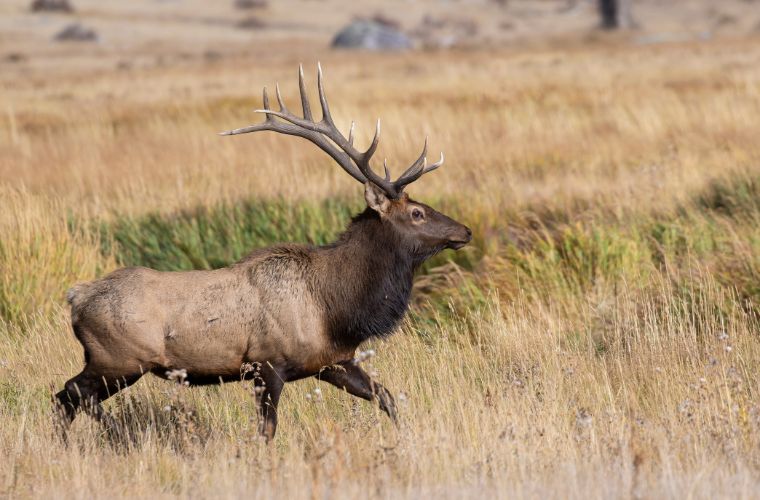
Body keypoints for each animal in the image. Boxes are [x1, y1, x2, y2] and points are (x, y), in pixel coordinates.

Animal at [54, 64, 472, 441]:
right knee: (69, 394)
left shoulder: (333, 362)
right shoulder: (265, 363)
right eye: (417, 213)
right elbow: (267, 431)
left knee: (68, 398)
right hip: (119, 358)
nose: (464, 231)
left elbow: (387, 398)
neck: (336, 308)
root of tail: (77, 297)